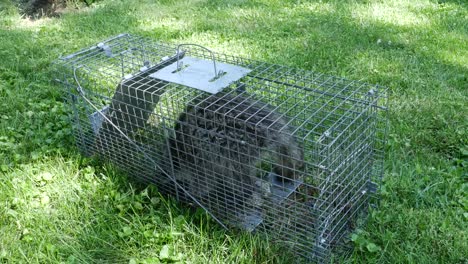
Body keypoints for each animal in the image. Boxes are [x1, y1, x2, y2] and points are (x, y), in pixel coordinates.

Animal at [167, 92, 304, 226]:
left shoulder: (200, 160)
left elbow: (204, 182)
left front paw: (191, 197)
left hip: (233, 143)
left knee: (238, 174)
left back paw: (246, 194)